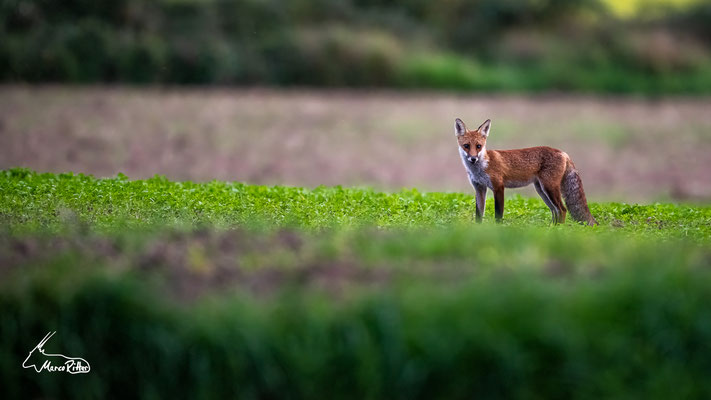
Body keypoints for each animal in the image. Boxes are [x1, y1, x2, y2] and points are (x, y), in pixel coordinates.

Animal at [456, 117, 596, 227]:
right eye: (466, 146)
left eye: (478, 146)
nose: (473, 158)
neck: (481, 167)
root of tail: (563, 152)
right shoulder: (479, 188)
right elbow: (479, 215)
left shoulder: (498, 187)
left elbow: (498, 215)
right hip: (542, 190)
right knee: (555, 210)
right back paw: (551, 229)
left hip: (549, 188)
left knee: (562, 210)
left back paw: (559, 230)